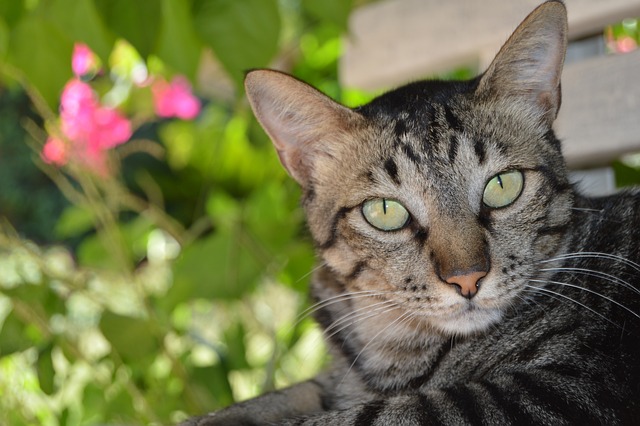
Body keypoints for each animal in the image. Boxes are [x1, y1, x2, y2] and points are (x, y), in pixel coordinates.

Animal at [182, 1, 636, 424]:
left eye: (503, 186)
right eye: (386, 211)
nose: (468, 279)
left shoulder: (563, 388)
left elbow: (372, 413)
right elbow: (289, 394)